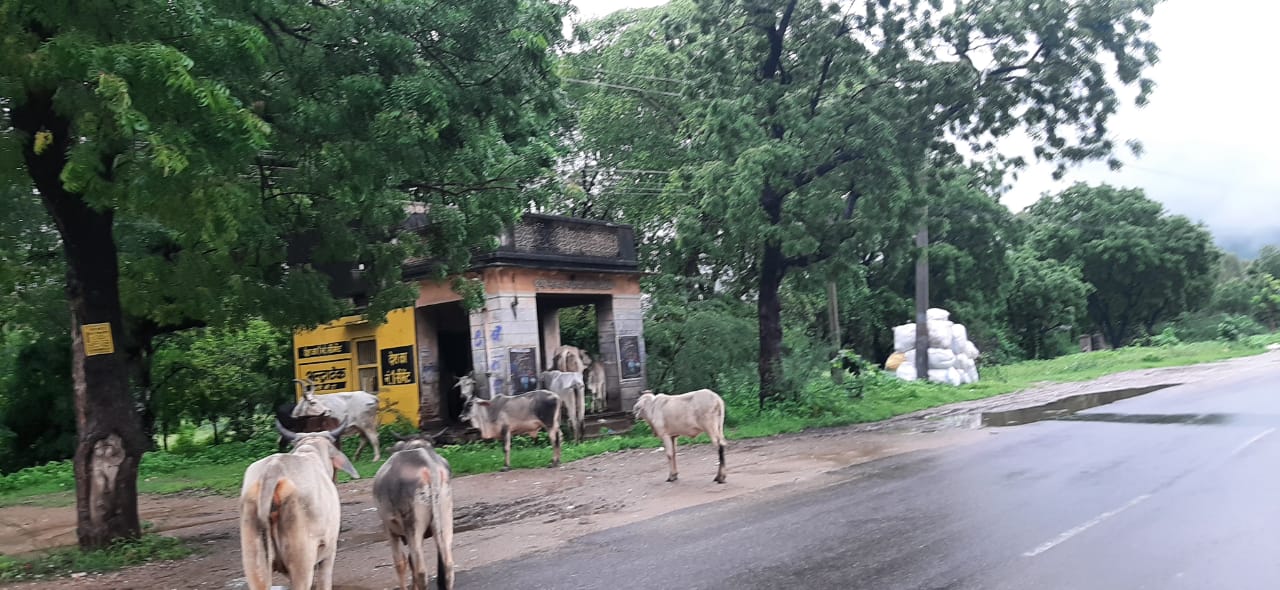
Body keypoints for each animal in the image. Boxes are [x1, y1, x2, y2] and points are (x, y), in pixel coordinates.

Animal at [373, 432, 455, 588]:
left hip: (412, 524)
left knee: (420, 570)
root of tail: (428, 464)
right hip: (445, 516)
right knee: (448, 564)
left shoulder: (388, 528)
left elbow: (400, 562)